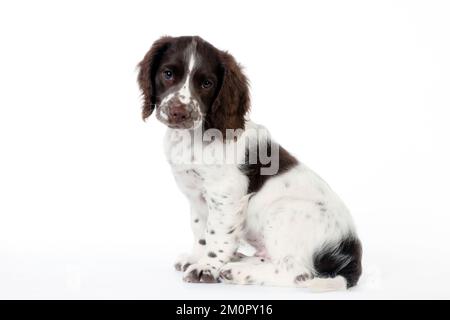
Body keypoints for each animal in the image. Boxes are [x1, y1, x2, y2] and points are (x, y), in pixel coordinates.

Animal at [137, 36, 362, 292]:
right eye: (168, 74)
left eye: (206, 83)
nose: (179, 112)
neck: (194, 137)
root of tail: (352, 255)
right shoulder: (196, 196)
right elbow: (200, 230)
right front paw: (196, 257)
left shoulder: (225, 195)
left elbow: (216, 233)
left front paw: (206, 268)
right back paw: (239, 260)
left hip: (283, 212)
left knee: (296, 272)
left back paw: (237, 271)